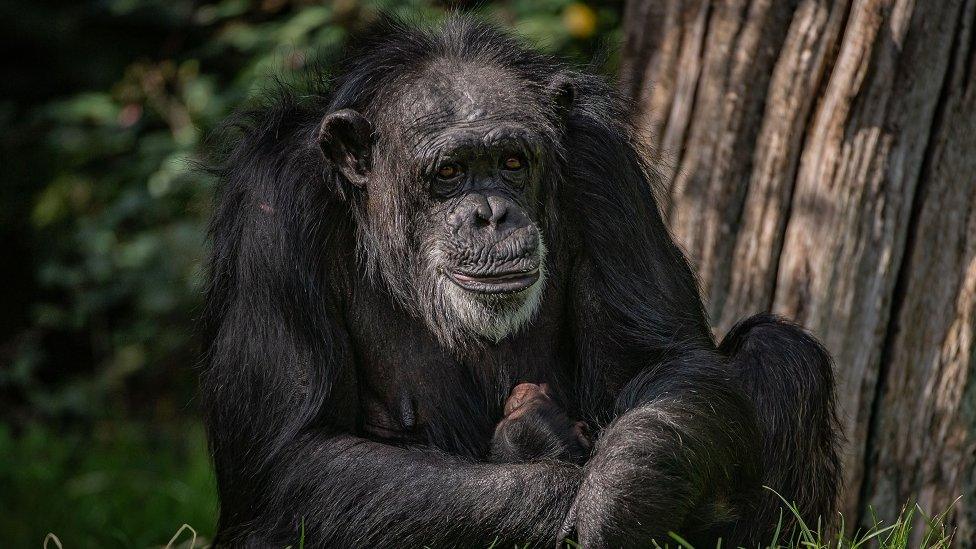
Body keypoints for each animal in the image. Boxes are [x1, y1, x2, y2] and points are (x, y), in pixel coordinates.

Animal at [200, 13, 840, 548]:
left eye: (511, 162)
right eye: (449, 172)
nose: (491, 213)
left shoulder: (604, 167)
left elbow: (665, 363)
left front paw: (620, 495)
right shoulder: (275, 212)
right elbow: (296, 452)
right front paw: (563, 490)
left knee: (781, 352)